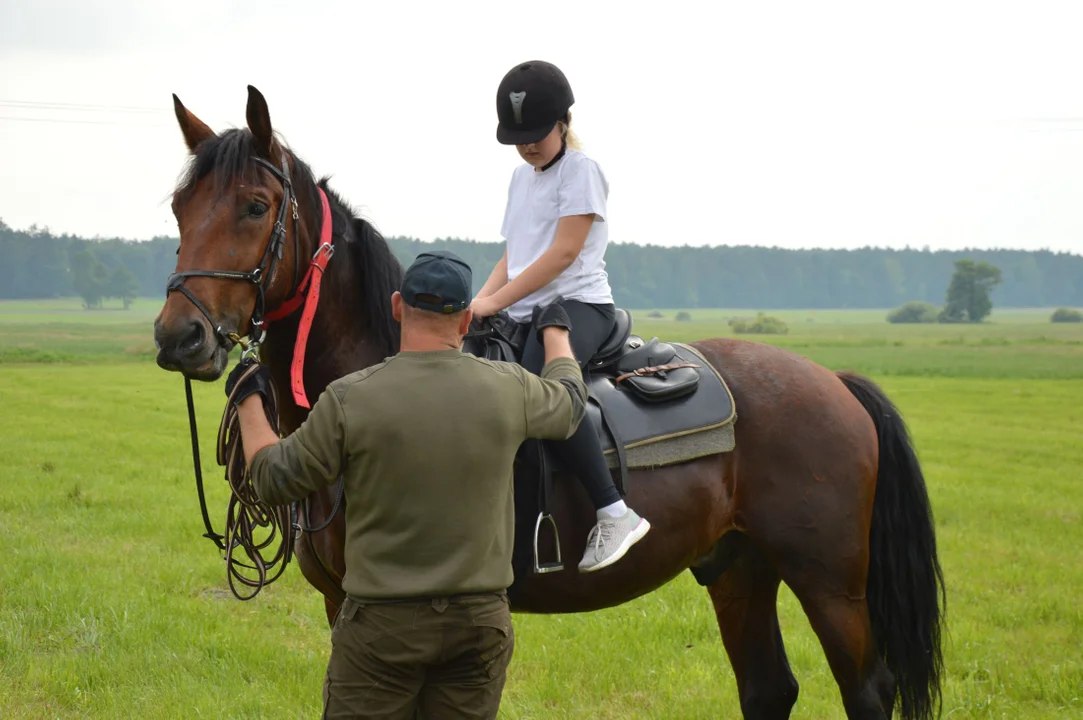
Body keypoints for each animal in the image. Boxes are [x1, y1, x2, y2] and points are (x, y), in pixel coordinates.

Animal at [154, 88, 948, 718]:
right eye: (179, 208)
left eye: (255, 206)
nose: (178, 335)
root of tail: (832, 380)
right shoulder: (344, 608)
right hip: (739, 568)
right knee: (767, 689)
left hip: (831, 585)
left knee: (866, 691)